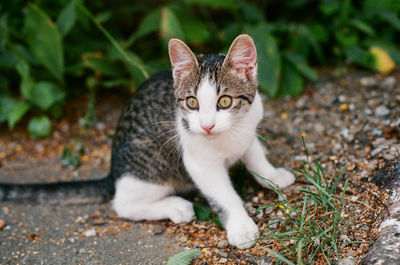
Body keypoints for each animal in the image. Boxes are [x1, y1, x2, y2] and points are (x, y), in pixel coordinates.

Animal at [0, 34, 294, 249]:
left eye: (225, 101)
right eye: (192, 103)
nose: (206, 125)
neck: (230, 133)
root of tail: (113, 172)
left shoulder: (250, 126)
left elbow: (255, 154)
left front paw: (272, 175)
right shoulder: (199, 162)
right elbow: (223, 195)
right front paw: (240, 226)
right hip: (150, 165)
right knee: (123, 204)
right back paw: (176, 206)